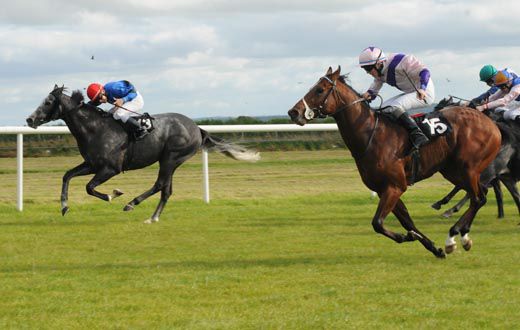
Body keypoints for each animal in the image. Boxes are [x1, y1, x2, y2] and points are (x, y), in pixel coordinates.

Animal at [26, 85, 260, 224]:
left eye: (48, 102)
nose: (29, 119)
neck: (94, 129)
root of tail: (196, 128)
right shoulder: (92, 165)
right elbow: (67, 176)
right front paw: (64, 206)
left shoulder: (110, 168)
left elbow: (89, 187)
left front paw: (113, 194)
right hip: (171, 161)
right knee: (167, 190)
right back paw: (153, 217)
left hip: (170, 158)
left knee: (160, 185)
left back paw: (131, 203)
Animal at [286, 67, 502, 258]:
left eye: (320, 89)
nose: (293, 112)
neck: (371, 136)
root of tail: (490, 122)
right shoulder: (385, 189)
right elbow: (408, 223)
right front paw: (433, 248)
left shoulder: (395, 186)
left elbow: (378, 223)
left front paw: (407, 237)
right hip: (453, 170)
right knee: (479, 195)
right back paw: (463, 236)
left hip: (467, 169)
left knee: (478, 198)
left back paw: (453, 236)